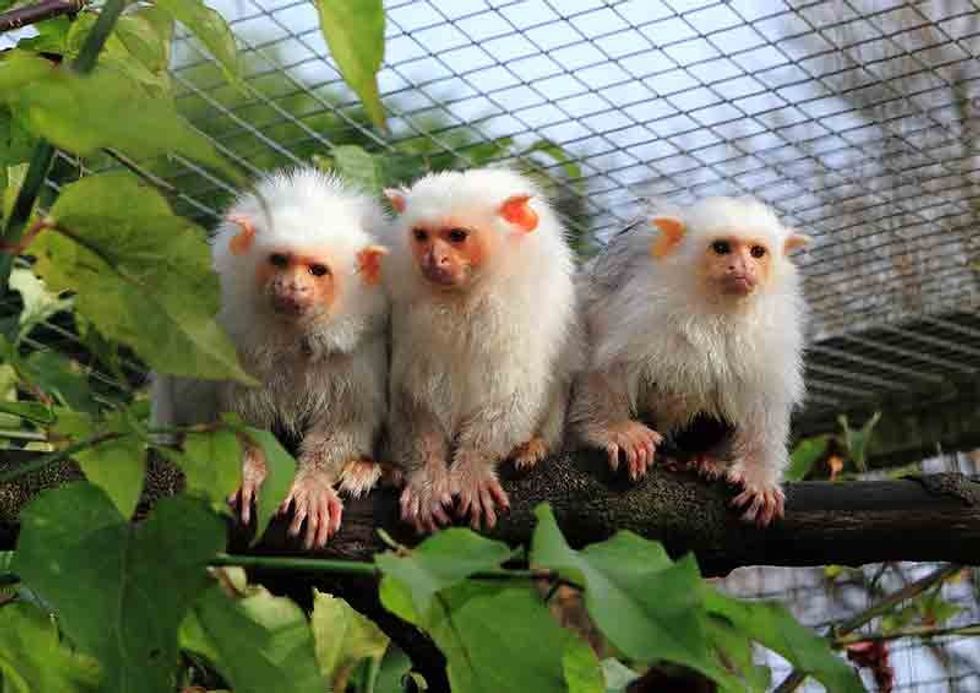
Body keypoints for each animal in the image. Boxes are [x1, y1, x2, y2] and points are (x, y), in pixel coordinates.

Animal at [152, 167, 389, 548]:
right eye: (279, 260)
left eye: (317, 271)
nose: (292, 287)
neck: (290, 337)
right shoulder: (230, 331)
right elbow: (229, 412)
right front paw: (251, 468)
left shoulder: (360, 351)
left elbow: (347, 420)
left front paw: (313, 481)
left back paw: (365, 469)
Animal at [382, 168, 579, 532]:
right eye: (421, 235)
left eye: (457, 235)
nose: (433, 259)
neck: (465, 297)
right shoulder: (409, 321)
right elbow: (414, 397)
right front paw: (427, 476)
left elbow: (512, 394)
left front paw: (473, 465)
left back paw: (533, 446)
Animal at [570, 197, 808, 527]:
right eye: (721, 248)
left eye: (757, 252)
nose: (743, 267)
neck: (715, 308)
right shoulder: (629, 302)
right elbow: (603, 364)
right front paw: (614, 430)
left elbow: (763, 403)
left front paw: (757, 474)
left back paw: (705, 459)